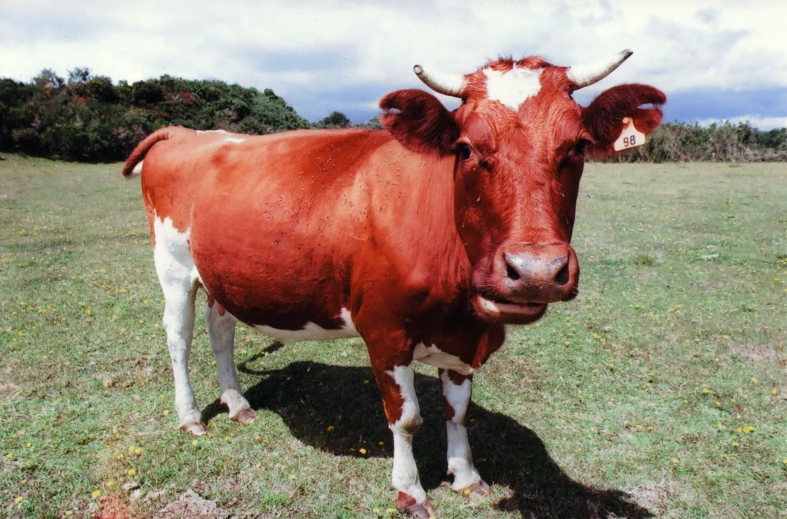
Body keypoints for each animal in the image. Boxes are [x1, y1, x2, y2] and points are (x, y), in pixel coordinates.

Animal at [123, 49, 664, 519]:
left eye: (576, 147)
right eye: (465, 148)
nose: (534, 272)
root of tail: (188, 132)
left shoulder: (462, 337)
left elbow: (457, 413)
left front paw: (465, 477)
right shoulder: (384, 330)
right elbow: (406, 417)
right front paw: (410, 490)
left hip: (223, 276)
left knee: (221, 332)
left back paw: (237, 405)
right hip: (173, 267)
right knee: (179, 338)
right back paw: (191, 416)